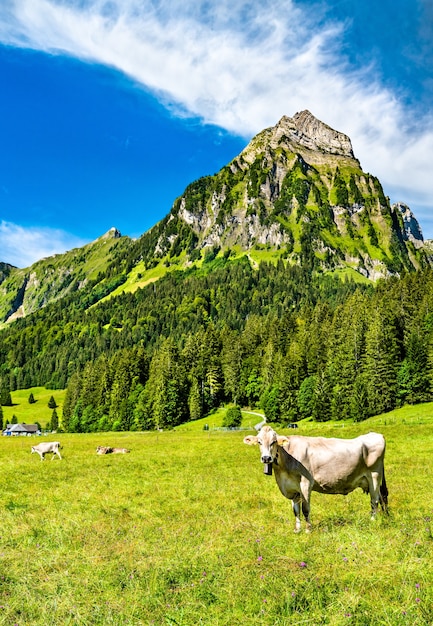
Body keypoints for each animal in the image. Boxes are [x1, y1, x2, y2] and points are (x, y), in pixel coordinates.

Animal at [243, 424, 388, 532]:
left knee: (374, 500)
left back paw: (373, 520)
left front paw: (308, 529)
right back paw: (385, 516)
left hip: (374, 476)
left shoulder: (306, 483)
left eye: (273, 442)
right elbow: (296, 510)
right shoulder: (293, 488)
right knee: (382, 497)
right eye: (259, 442)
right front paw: (297, 530)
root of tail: (376, 435)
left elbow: (305, 509)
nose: (266, 458)